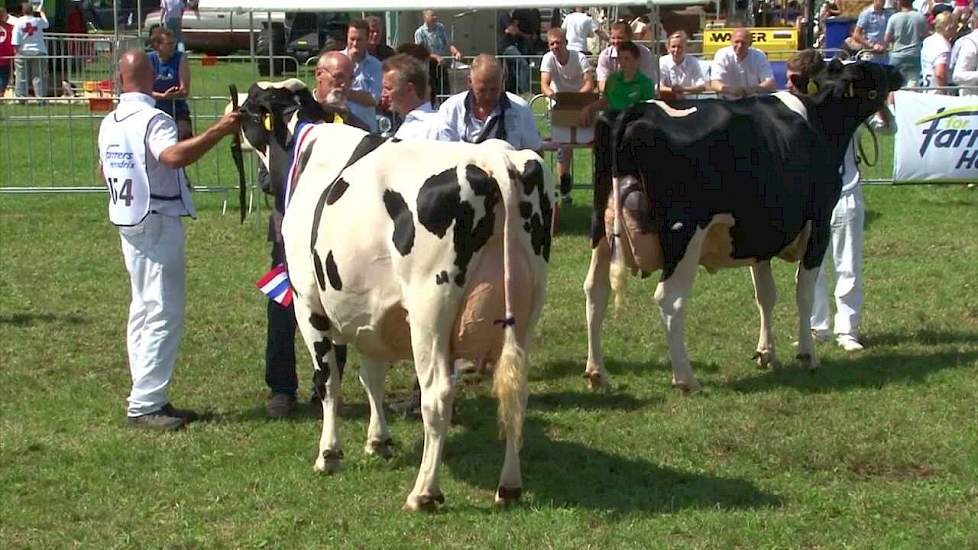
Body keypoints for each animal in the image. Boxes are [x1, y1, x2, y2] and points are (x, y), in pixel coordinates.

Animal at [237, 81, 552, 512]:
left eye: (250, 107)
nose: (233, 108)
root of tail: (491, 157)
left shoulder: (308, 302)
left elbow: (328, 380)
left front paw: (329, 454)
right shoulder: (370, 308)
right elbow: (372, 375)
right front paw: (378, 440)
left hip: (429, 312)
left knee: (437, 396)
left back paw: (424, 493)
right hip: (526, 309)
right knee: (515, 391)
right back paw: (509, 486)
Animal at [580, 59, 900, 392]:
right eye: (867, 70)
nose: (898, 72)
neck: (820, 119)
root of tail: (632, 112)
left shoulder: (760, 234)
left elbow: (766, 295)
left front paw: (766, 353)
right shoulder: (819, 222)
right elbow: (804, 292)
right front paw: (807, 355)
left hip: (601, 232)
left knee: (595, 290)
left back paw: (597, 372)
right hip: (685, 235)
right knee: (669, 300)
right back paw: (686, 379)